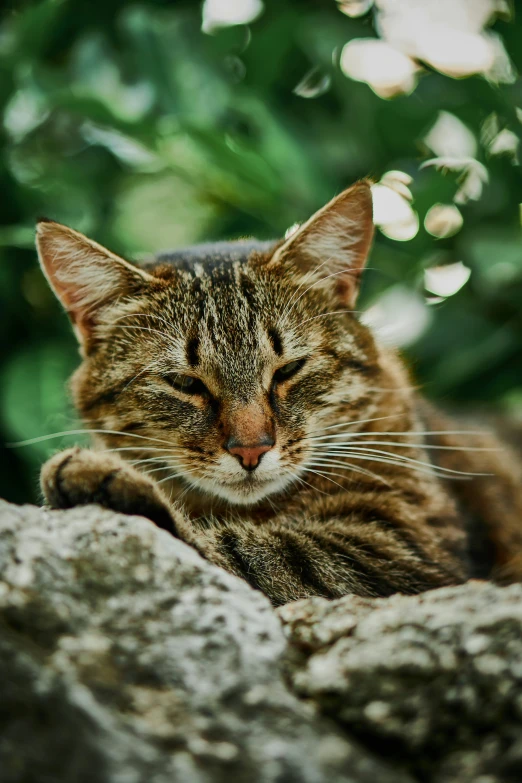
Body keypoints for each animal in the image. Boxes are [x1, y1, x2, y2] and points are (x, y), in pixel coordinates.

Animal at [35, 182, 520, 608]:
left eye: (288, 370)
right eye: (186, 384)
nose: (251, 450)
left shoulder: (403, 547)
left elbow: (245, 556)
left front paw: (107, 483)